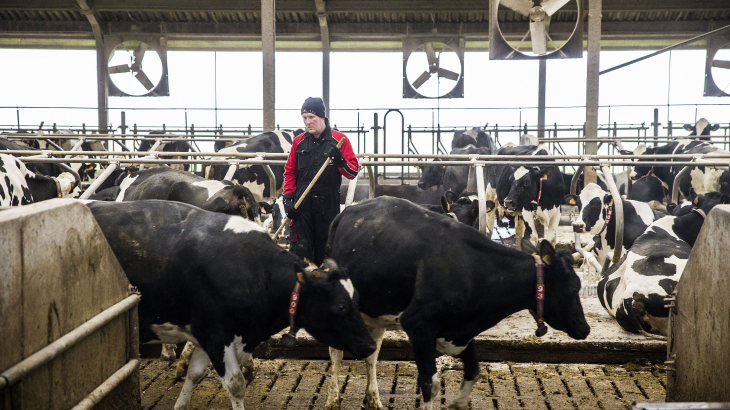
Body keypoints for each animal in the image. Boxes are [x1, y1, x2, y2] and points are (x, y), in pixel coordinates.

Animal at [86, 201, 376, 410]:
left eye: (357, 300)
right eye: (341, 306)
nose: (371, 345)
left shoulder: (207, 336)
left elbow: (195, 374)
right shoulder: (214, 332)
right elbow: (235, 384)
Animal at [328, 196, 588, 410]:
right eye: (575, 287)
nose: (585, 329)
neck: (474, 269)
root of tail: (346, 213)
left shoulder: (460, 331)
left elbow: (473, 370)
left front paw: (459, 403)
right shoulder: (418, 325)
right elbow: (429, 382)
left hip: (376, 310)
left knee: (372, 353)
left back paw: (373, 399)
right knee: (336, 352)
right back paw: (332, 398)